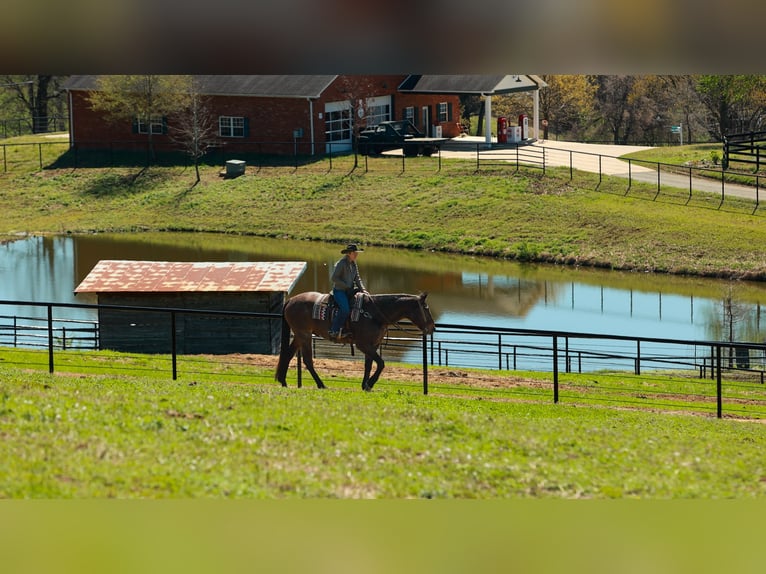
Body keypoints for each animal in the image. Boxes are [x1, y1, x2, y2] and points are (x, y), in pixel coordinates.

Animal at [275, 292, 435, 391]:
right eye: (426, 308)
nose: (432, 327)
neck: (375, 314)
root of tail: (291, 300)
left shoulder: (373, 345)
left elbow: (369, 365)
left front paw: (365, 384)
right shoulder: (363, 344)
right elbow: (381, 363)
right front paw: (371, 383)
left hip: (299, 336)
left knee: (288, 355)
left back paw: (283, 381)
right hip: (305, 335)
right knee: (308, 360)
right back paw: (321, 384)